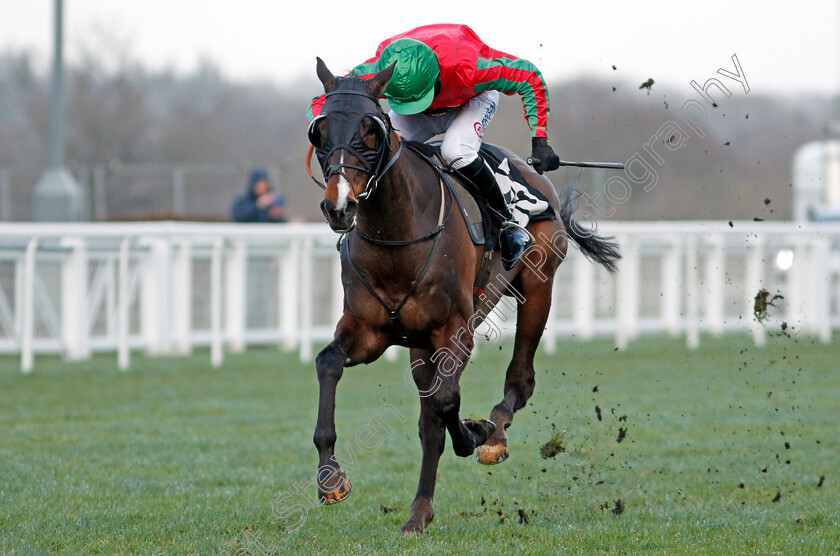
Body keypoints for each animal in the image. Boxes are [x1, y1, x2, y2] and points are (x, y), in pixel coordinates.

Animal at [308, 57, 624, 536]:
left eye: (370, 130)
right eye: (321, 131)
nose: (339, 206)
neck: (397, 235)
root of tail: (532, 174)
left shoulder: (454, 330)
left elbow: (447, 402)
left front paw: (475, 433)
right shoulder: (368, 331)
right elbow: (329, 364)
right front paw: (330, 478)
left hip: (538, 287)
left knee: (519, 379)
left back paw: (494, 432)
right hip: (419, 342)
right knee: (429, 423)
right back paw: (419, 513)